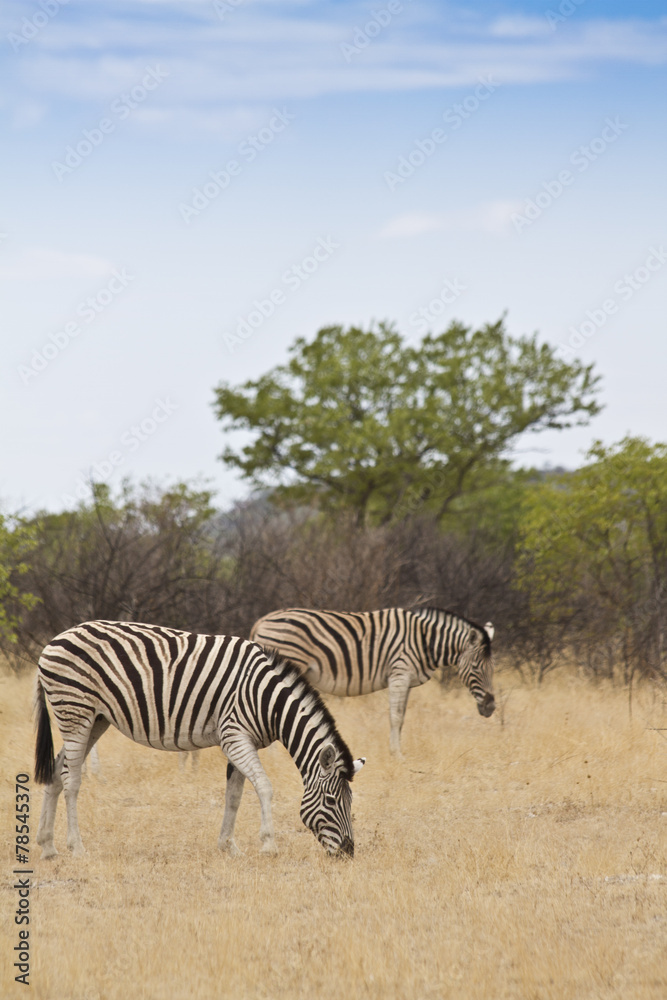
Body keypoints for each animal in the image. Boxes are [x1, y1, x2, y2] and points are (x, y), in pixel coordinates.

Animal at [34, 620, 365, 859]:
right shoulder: (234, 736)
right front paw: (268, 844)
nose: (348, 852)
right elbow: (264, 787)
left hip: (95, 719)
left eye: (351, 801)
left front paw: (228, 846)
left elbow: (234, 796)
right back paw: (76, 848)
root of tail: (52, 641)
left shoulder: (239, 741)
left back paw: (48, 847)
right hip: (75, 710)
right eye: (332, 800)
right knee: (72, 779)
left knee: (56, 770)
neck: (266, 698)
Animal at [251, 607, 496, 755]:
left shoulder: (406, 679)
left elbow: (401, 718)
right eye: (477, 668)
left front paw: (396, 750)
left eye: (493, 669)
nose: (491, 708)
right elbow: (395, 716)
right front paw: (397, 755)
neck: (424, 640)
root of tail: (261, 620)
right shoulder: (399, 673)